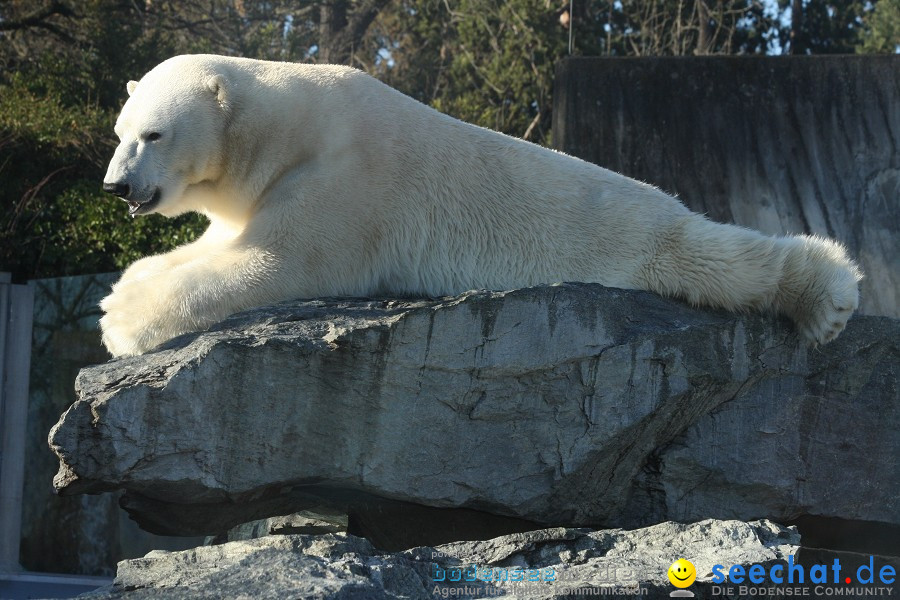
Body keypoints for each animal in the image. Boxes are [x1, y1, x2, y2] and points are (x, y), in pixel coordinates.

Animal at [102, 55, 860, 356]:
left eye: (154, 134)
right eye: (118, 133)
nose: (117, 186)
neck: (288, 124)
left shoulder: (344, 180)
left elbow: (274, 261)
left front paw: (121, 318)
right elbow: (223, 241)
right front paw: (128, 282)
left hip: (630, 233)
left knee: (714, 257)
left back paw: (828, 296)